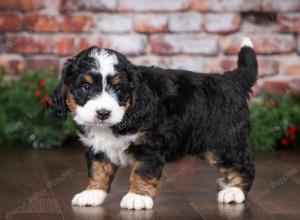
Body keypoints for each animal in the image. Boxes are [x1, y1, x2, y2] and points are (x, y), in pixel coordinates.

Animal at [51, 37, 255, 210]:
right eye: (86, 87)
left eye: (118, 88)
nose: (103, 113)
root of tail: (232, 80)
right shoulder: (97, 147)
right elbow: (98, 170)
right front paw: (93, 193)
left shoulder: (151, 144)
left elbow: (142, 171)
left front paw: (138, 196)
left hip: (222, 142)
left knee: (243, 165)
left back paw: (234, 191)